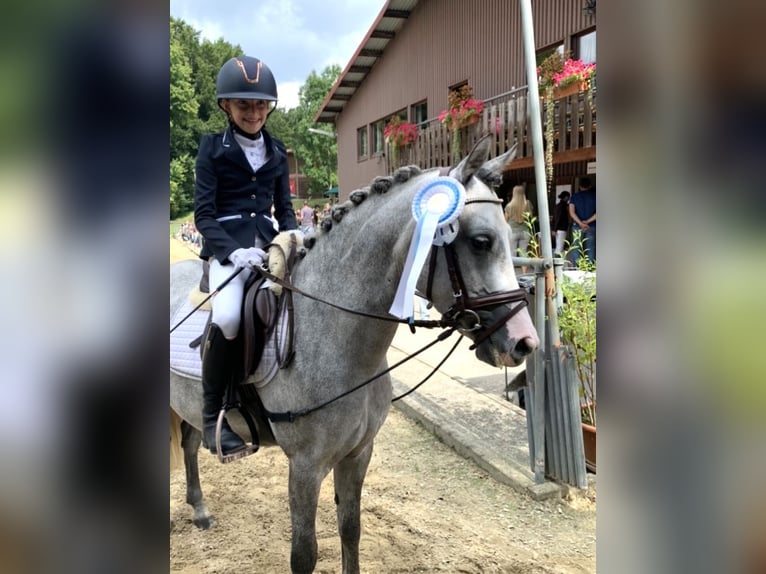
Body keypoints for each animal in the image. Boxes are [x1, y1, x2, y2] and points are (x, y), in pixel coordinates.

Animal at [170, 138, 540, 574]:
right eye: (481, 241)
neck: (338, 339)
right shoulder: (306, 466)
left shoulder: (358, 453)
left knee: (190, 443)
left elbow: (351, 529)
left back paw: (199, 509)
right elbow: (304, 554)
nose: (524, 342)